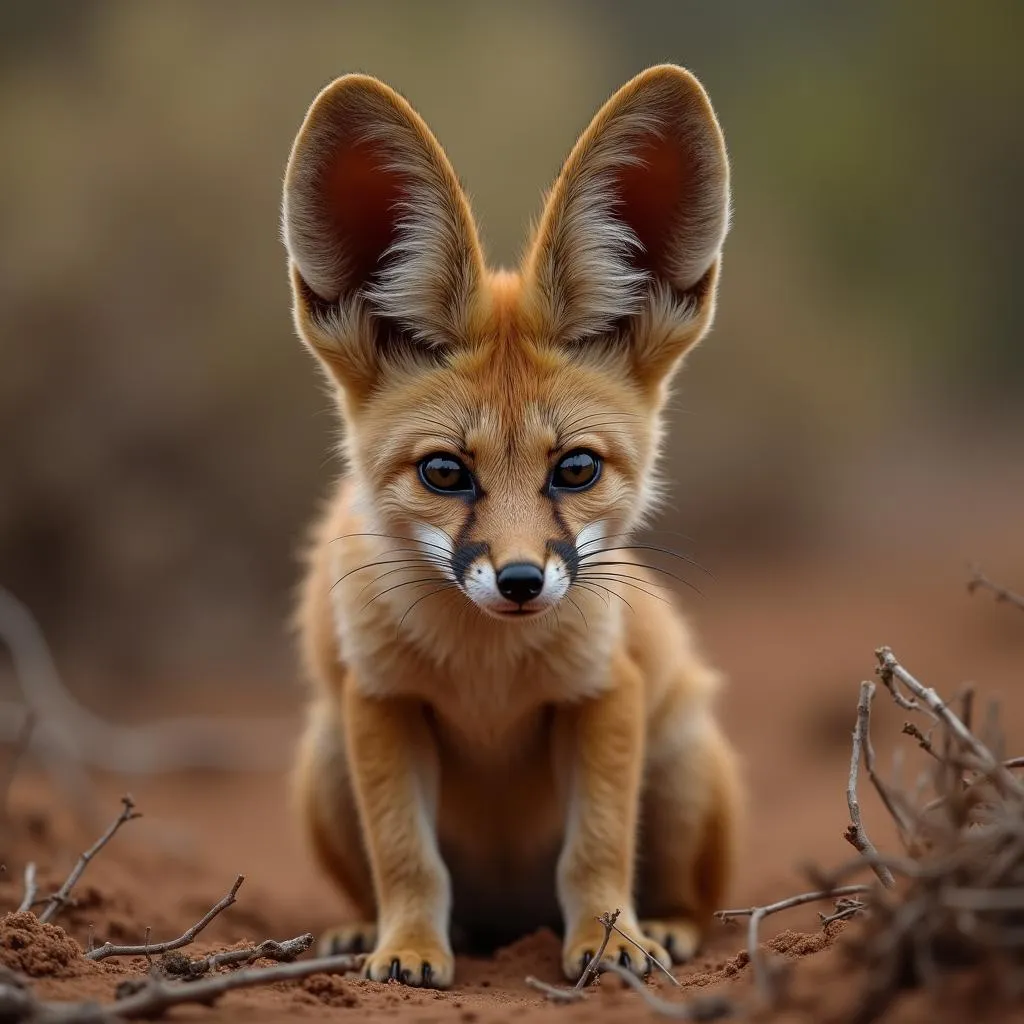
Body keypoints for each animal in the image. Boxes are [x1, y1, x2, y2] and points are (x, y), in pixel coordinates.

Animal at [280, 66, 745, 991]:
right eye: (444, 473)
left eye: (576, 469)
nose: (523, 580)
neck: (484, 677)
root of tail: (506, 921)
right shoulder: (382, 700)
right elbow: (408, 858)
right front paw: (409, 949)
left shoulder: (603, 692)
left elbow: (595, 853)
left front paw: (607, 942)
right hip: (323, 758)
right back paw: (365, 931)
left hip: (681, 763)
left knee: (692, 897)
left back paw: (664, 929)